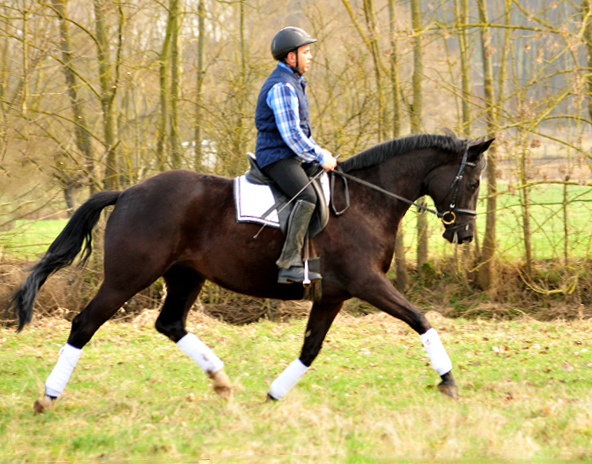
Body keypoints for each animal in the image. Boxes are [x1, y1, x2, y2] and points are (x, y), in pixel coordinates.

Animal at [6, 132, 492, 412]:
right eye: (472, 183)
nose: (465, 234)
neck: (367, 200)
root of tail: (126, 192)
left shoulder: (333, 294)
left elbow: (311, 348)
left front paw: (274, 394)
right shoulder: (367, 283)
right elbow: (420, 319)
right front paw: (448, 381)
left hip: (185, 276)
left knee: (170, 323)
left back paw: (221, 381)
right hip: (127, 277)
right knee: (84, 324)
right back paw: (48, 396)